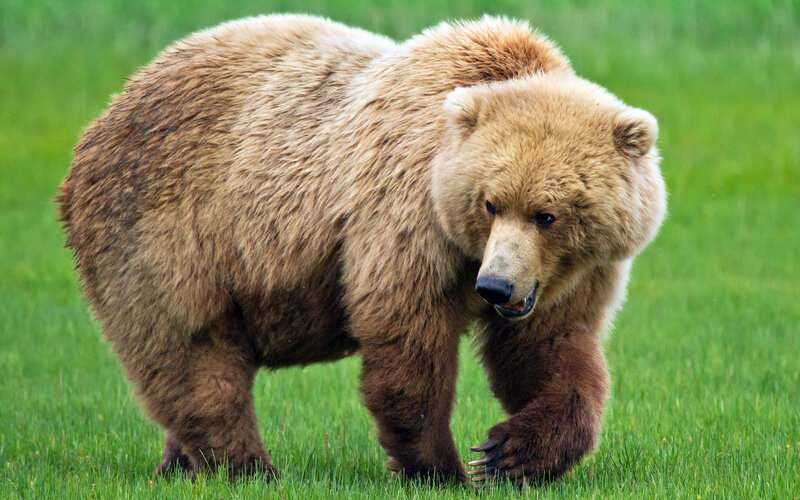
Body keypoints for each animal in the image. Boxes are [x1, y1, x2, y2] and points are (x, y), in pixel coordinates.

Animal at [57, 14, 666, 486]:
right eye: (491, 203)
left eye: (547, 214)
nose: (494, 288)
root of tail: (104, 115)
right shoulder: (406, 212)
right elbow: (407, 338)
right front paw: (442, 468)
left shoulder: (571, 273)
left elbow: (551, 350)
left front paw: (508, 453)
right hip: (168, 231)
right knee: (194, 352)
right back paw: (248, 466)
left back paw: (180, 464)